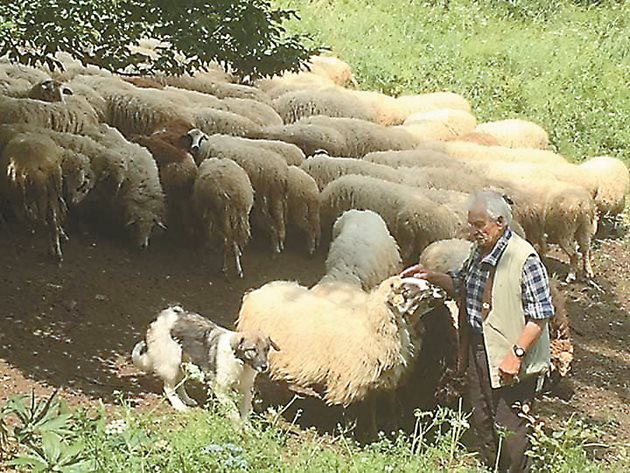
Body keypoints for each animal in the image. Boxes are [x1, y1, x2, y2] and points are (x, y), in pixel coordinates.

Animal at [133, 304, 278, 422]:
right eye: (252, 350)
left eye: (266, 349)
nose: (264, 367)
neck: (241, 362)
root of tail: (165, 314)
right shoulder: (219, 388)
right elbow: (233, 409)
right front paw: (238, 427)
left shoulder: (246, 390)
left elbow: (244, 413)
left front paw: (247, 429)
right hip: (171, 363)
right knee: (168, 388)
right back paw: (179, 406)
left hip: (184, 362)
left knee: (179, 383)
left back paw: (187, 400)